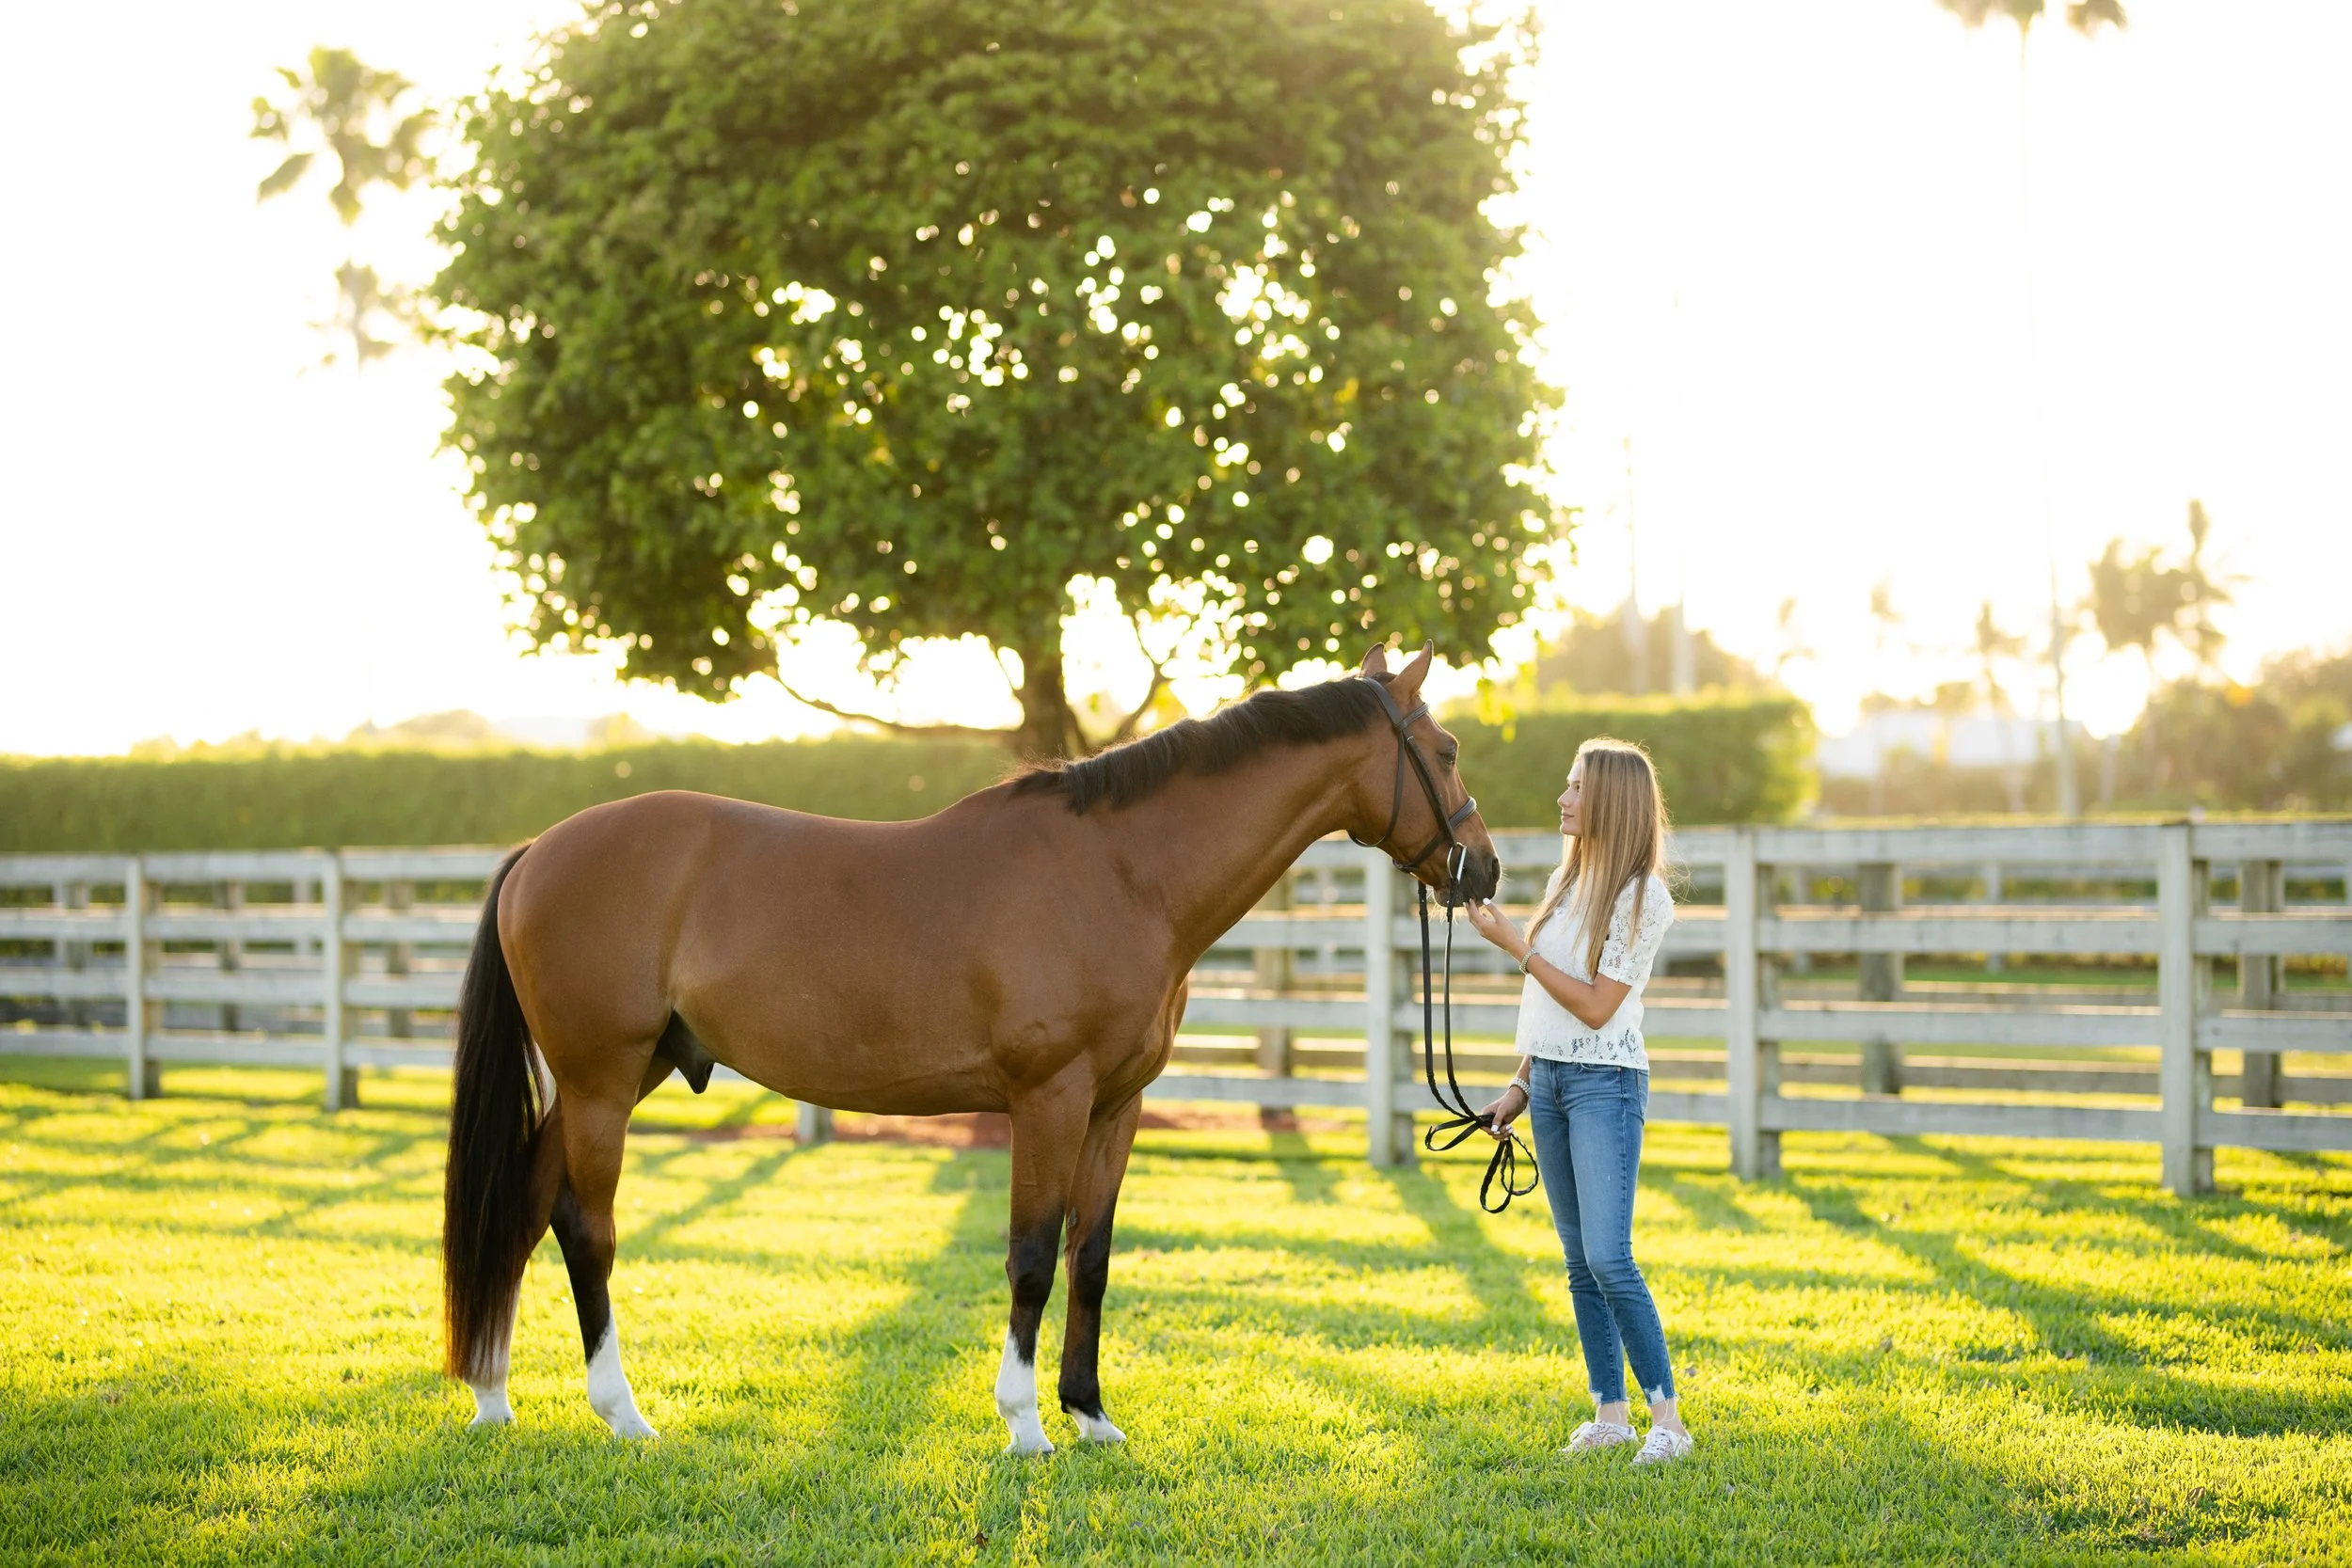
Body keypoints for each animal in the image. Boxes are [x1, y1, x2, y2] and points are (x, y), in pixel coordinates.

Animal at [441, 641, 1500, 1451]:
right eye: (1445, 748)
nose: (1483, 869)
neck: (1124, 873)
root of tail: (535, 851)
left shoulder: (1116, 1105)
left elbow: (1090, 1254)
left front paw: (1089, 1414)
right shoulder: (1049, 1097)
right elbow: (1030, 1254)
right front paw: (1025, 1421)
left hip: (618, 1077)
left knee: (522, 1205)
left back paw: (493, 1396)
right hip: (602, 1082)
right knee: (586, 1228)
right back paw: (622, 1413)